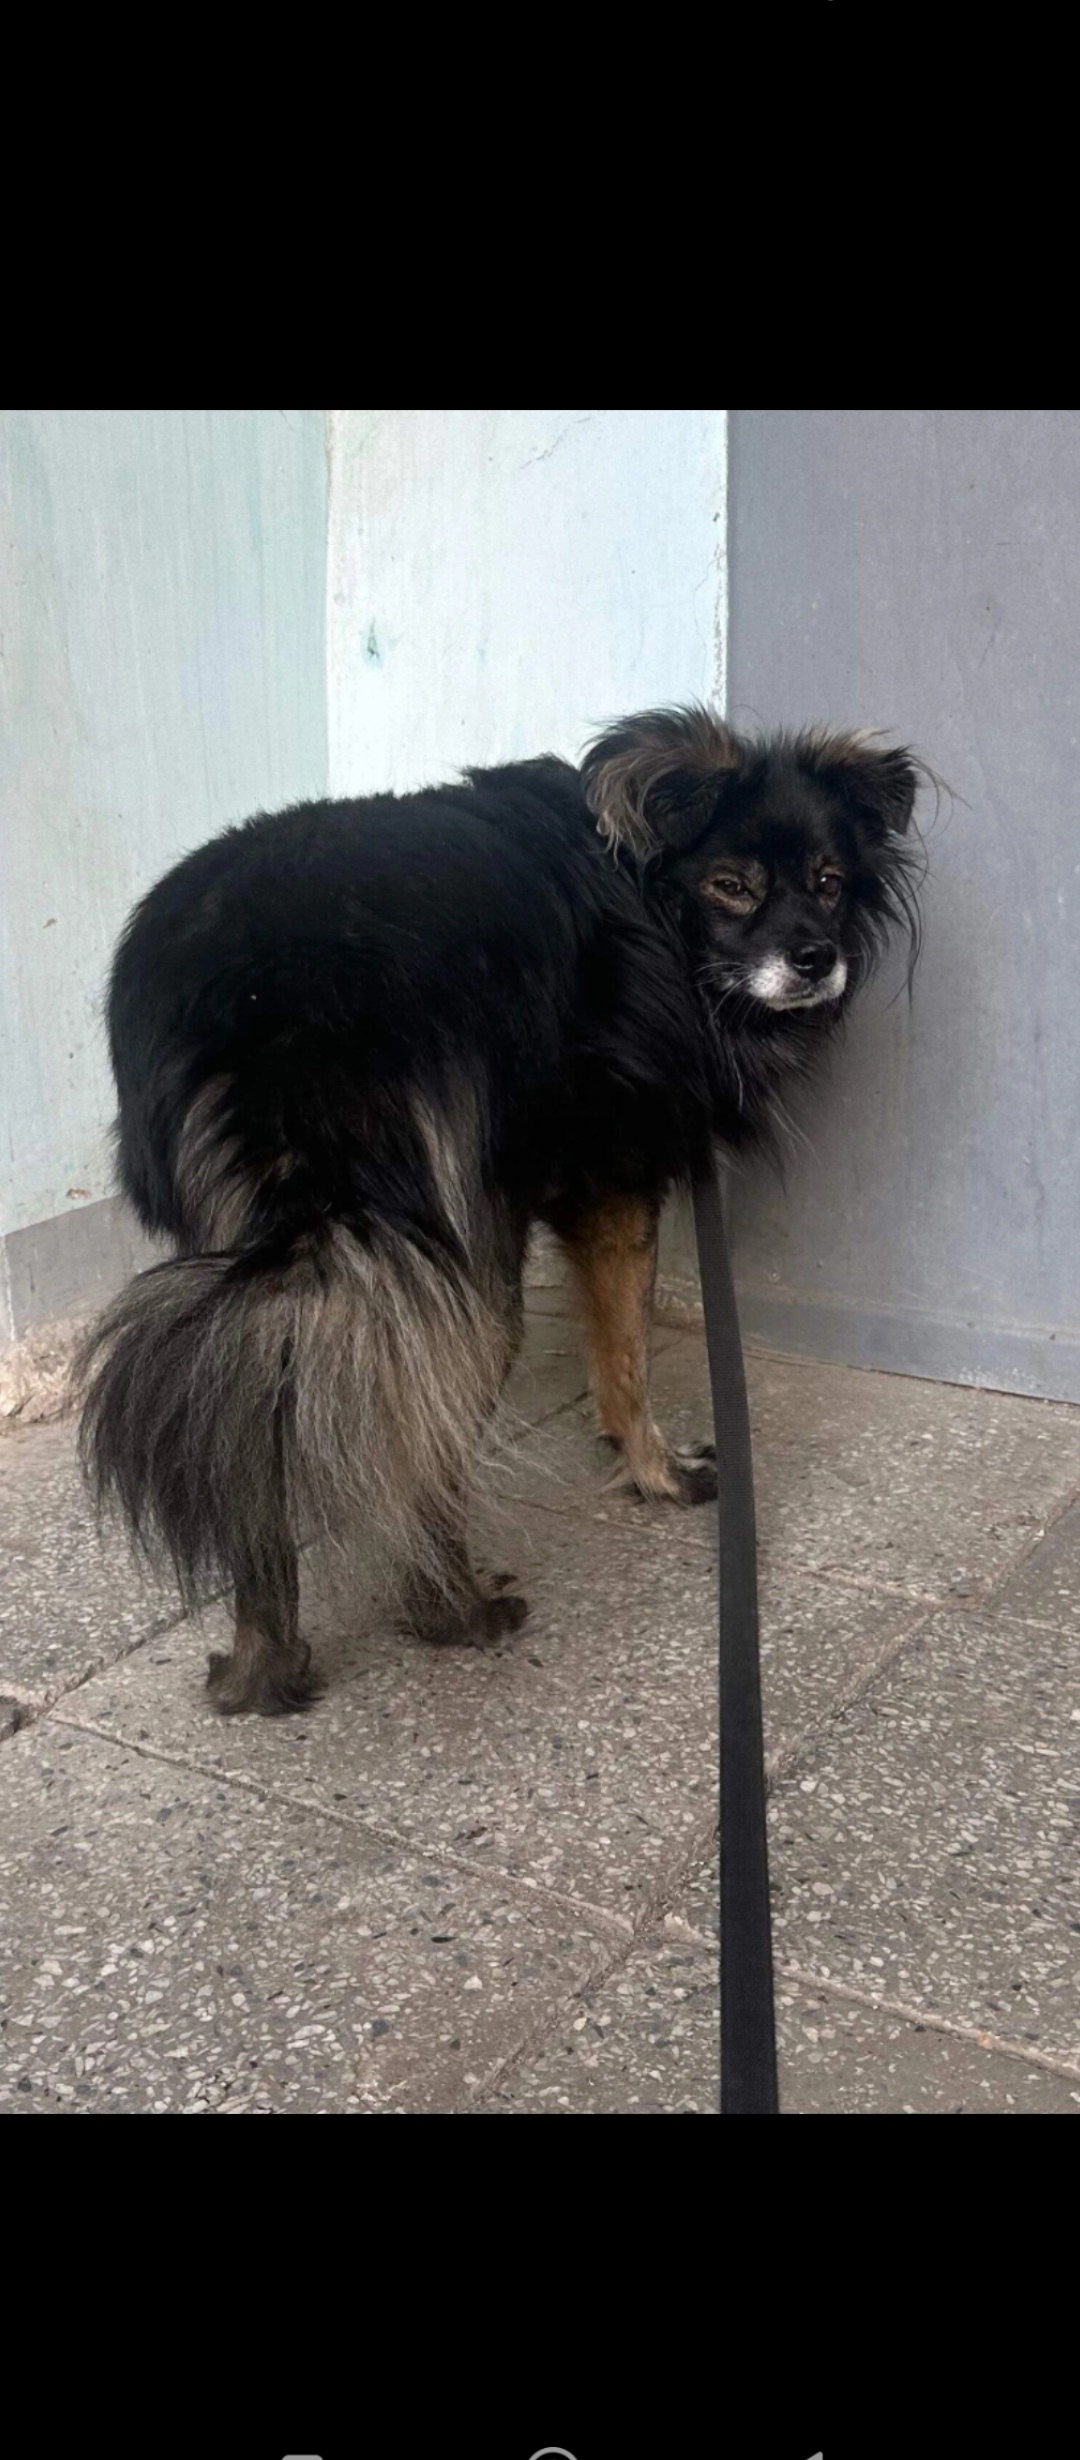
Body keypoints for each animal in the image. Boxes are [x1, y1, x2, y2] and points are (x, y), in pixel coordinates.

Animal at [77, 706, 924, 1714]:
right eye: (730, 886)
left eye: (830, 884)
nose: (815, 960)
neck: (640, 890)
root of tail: (267, 993)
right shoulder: (617, 1188)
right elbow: (627, 1357)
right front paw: (659, 1474)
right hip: (460, 1282)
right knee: (422, 1452)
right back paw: (453, 1613)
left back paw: (264, 1666)